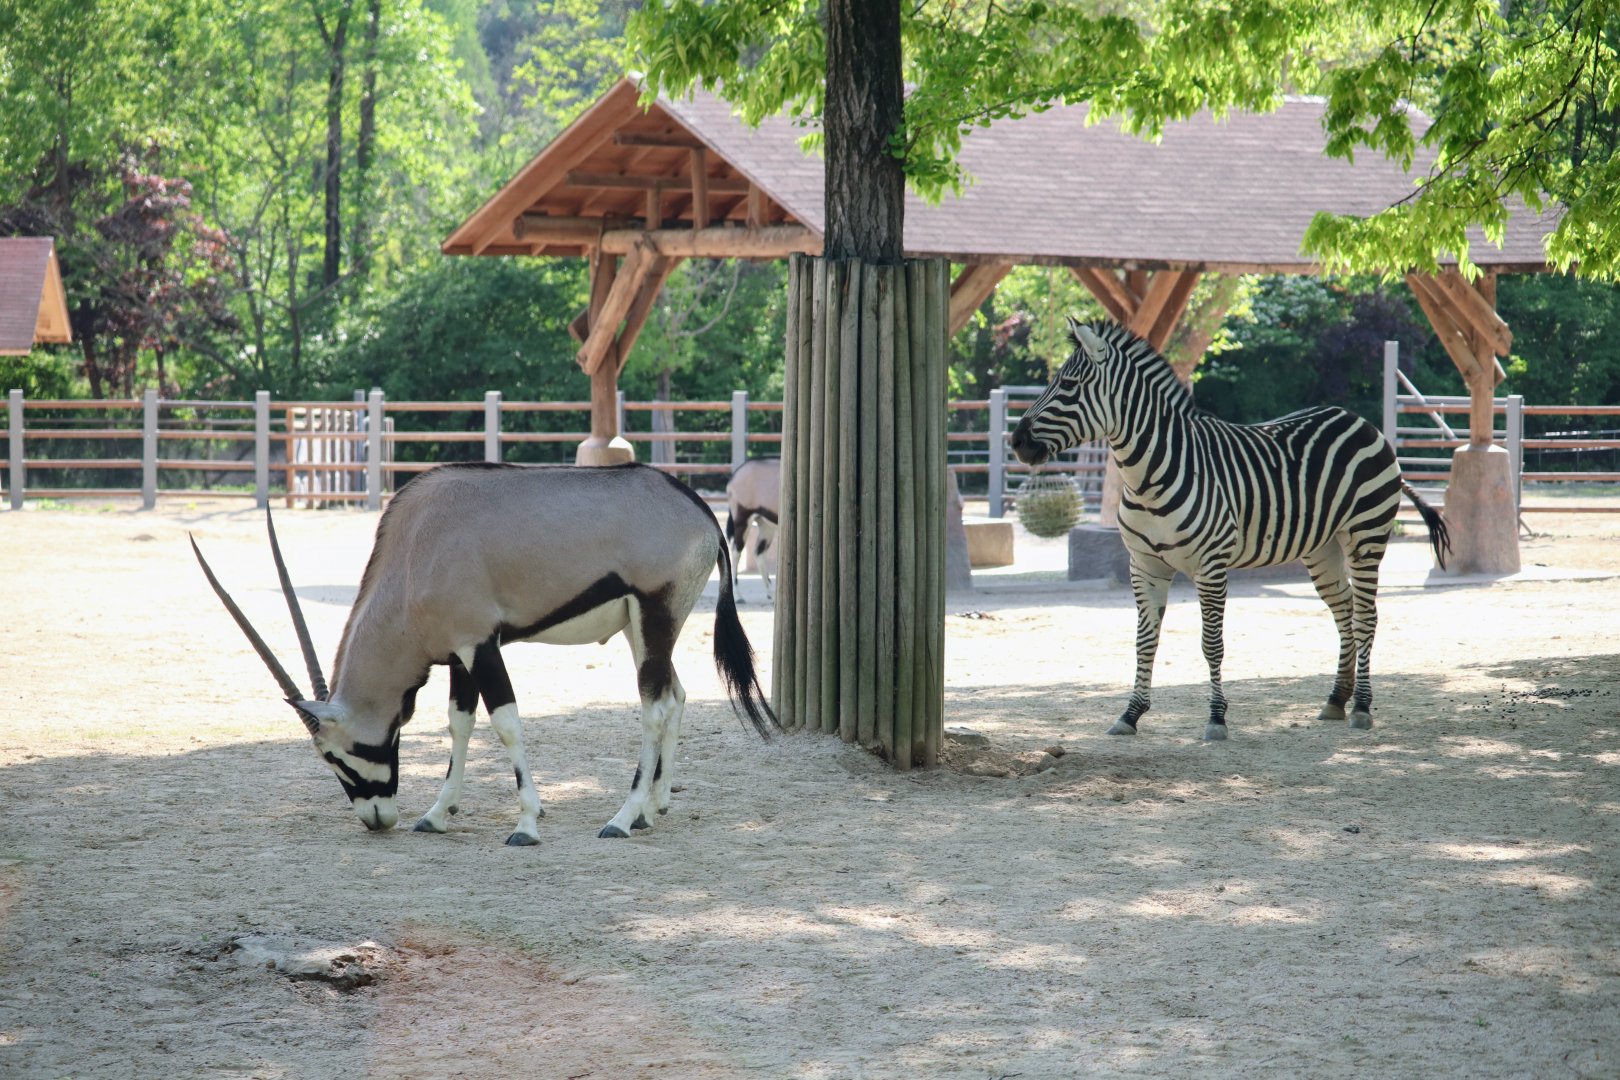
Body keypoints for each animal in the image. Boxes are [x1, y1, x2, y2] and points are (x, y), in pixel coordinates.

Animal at [191, 461, 778, 844]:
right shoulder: (458, 656)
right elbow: (459, 725)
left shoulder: (481, 645)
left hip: (656, 617)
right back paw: (654, 808)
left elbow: (506, 724)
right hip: (644, 629)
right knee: (675, 696)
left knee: (653, 708)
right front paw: (437, 814)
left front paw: (527, 822)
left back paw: (621, 817)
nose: (377, 819)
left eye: (334, 754)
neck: (415, 554)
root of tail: (700, 510)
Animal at [1010, 318, 1450, 741]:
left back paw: (1360, 706)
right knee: (1344, 611)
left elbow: (1212, 645)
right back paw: (1336, 700)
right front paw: (1130, 715)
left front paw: (1217, 719)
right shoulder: (1144, 564)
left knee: (1365, 617)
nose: (1017, 441)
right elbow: (1144, 643)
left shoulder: (1211, 565)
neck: (1147, 476)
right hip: (1322, 546)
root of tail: (1359, 420)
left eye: (1068, 385)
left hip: (1366, 536)